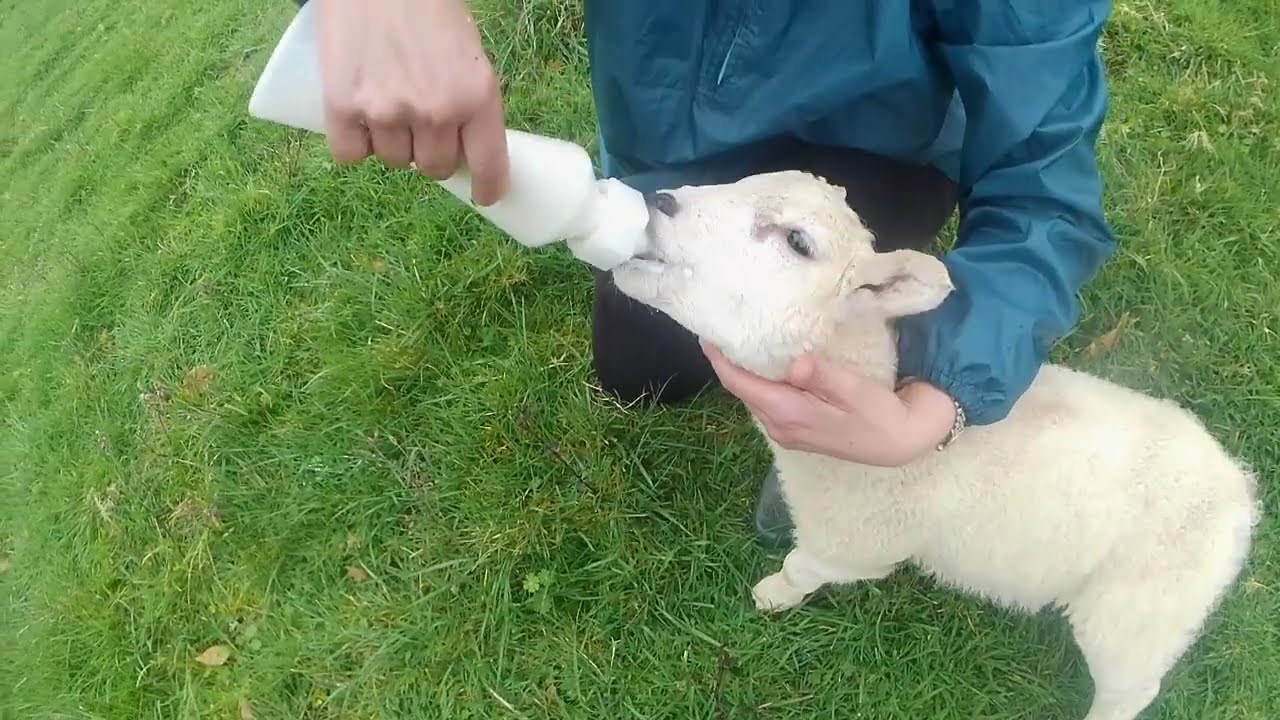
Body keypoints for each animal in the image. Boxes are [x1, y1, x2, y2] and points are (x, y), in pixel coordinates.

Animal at [608, 170, 1263, 720]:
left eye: (797, 241)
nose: (659, 201)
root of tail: (1240, 493)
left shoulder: (851, 546)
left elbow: (800, 570)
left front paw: (770, 597)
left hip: (1140, 610)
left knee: (1132, 685)